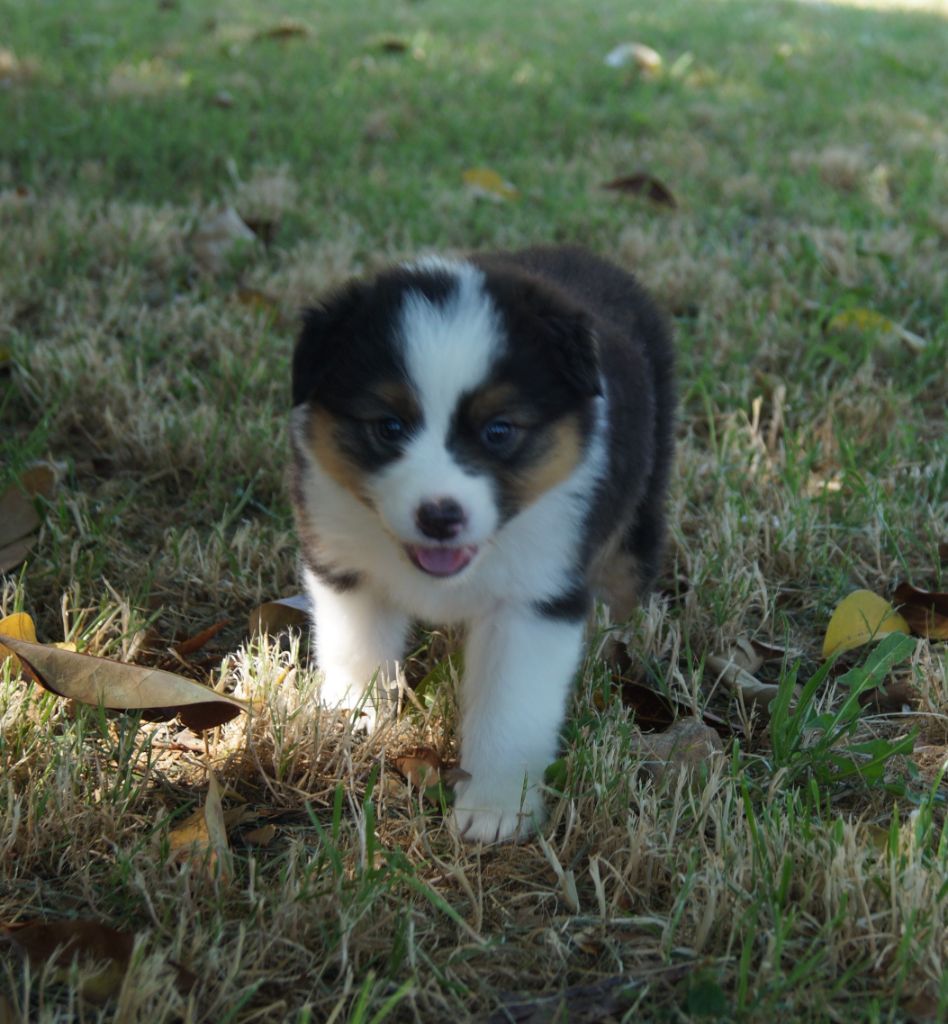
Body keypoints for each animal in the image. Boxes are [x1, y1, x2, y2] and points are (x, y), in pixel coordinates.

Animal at [289, 246, 675, 842]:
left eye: (499, 431)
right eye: (389, 426)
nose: (439, 516)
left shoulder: (536, 596)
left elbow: (509, 711)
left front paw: (495, 811)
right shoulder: (346, 565)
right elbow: (357, 651)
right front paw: (353, 721)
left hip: (641, 501)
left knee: (625, 578)